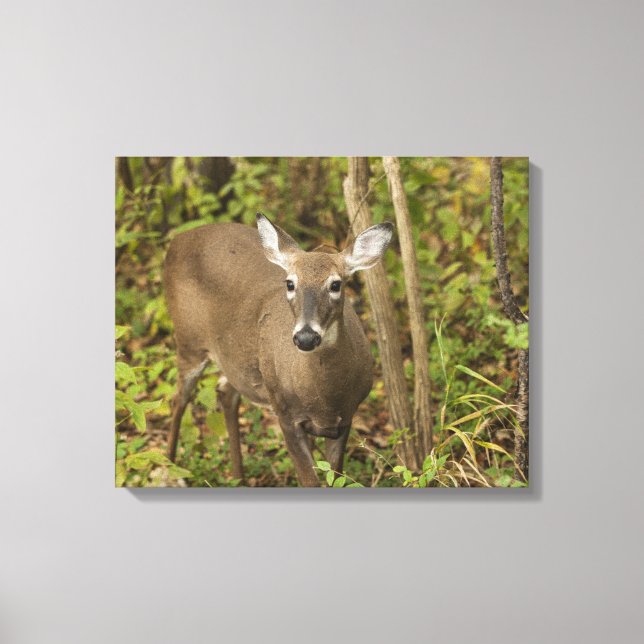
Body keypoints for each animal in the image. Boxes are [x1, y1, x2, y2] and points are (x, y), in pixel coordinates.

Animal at [163, 213, 393, 487]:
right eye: (290, 283)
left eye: (336, 284)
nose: (306, 337)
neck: (324, 399)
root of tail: (176, 242)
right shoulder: (285, 414)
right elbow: (310, 481)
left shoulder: (345, 418)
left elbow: (334, 477)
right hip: (188, 340)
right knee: (179, 398)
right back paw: (171, 472)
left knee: (226, 391)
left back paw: (238, 478)